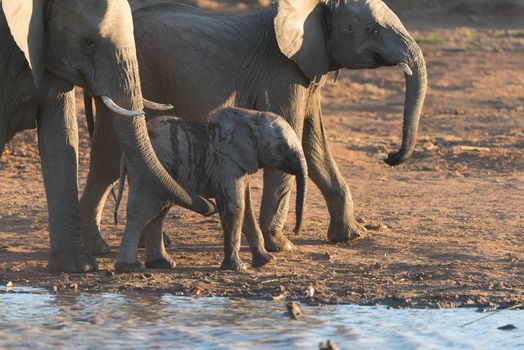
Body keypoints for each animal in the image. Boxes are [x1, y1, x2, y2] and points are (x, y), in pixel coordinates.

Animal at [82, 0, 426, 253]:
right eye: (371, 29)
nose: (391, 157)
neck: (314, 7)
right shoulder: (282, 73)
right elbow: (292, 140)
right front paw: (282, 246)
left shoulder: (308, 72)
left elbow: (314, 147)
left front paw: (351, 236)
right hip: (132, 78)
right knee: (109, 160)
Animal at [112, 108, 304, 272]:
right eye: (281, 147)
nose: (295, 231)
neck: (249, 116)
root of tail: (124, 155)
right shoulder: (226, 164)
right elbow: (236, 207)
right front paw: (238, 268)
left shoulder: (241, 163)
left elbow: (246, 208)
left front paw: (266, 261)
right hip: (144, 175)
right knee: (142, 212)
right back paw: (129, 267)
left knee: (158, 212)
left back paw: (161, 264)